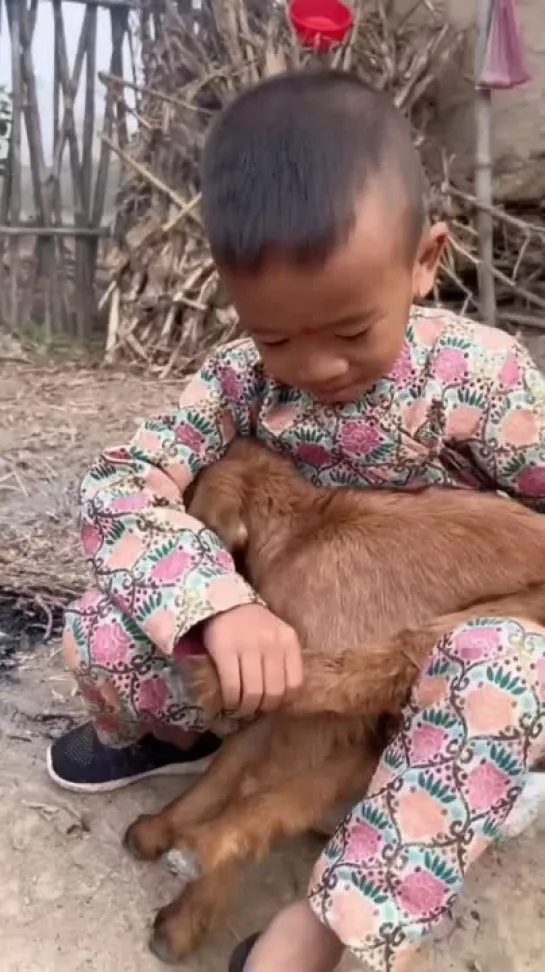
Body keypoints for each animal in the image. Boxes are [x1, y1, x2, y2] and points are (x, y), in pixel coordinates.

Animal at [123, 436, 544, 960]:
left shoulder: (320, 717)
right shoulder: (281, 687)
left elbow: (263, 783)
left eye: (192, 491)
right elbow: (234, 764)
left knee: (387, 664)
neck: (301, 530)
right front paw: (162, 828)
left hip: (500, 617)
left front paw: (188, 913)